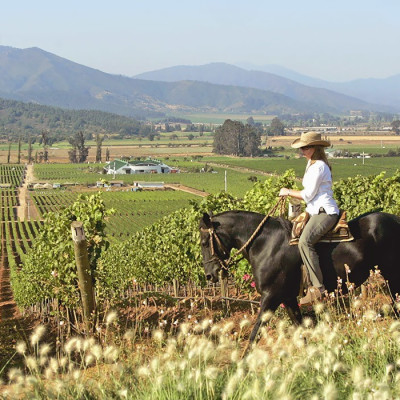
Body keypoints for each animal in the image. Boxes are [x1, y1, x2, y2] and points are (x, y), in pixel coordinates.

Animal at [200, 209, 400, 344]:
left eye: (203, 242)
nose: (209, 275)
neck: (265, 244)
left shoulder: (271, 296)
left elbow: (255, 333)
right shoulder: (287, 297)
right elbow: (300, 328)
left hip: (392, 276)